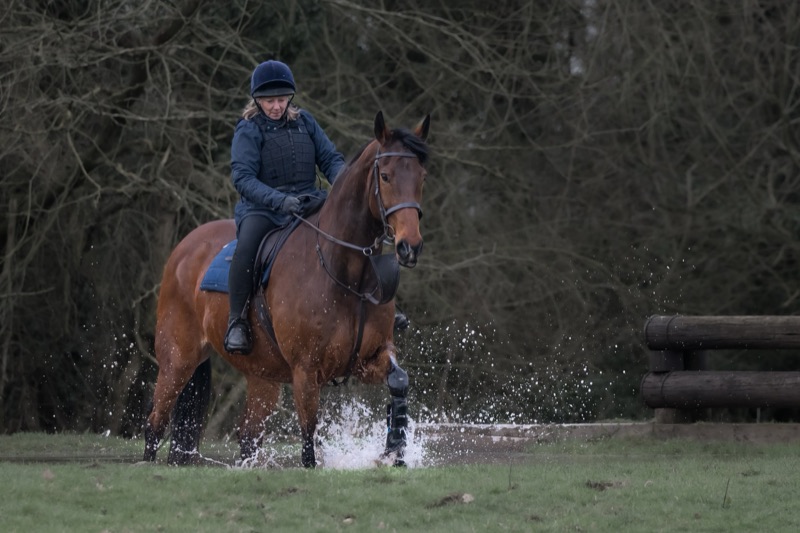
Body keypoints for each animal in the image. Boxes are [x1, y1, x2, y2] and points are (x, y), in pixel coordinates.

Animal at [143, 111, 430, 468]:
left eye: (421, 177)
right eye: (386, 176)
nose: (410, 246)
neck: (345, 274)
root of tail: (184, 248)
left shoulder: (370, 358)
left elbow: (399, 382)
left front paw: (395, 448)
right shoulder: (306, 371)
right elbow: (308, 440)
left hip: (261, 375)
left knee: (248, 435)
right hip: (177, 361)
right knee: (155, 423)